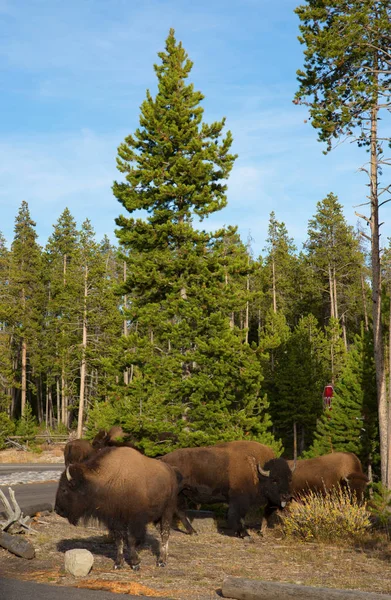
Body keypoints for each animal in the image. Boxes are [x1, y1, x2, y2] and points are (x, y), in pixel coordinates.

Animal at [161, 438, 292, 536]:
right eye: (274, 480)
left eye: (289, 479)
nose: (286, 496)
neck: (256, 469)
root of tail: (163, 459)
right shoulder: (240, 500)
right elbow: (238, 516)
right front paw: (244, 534)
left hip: (181, 492)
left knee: (180, 510)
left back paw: (193, 531)